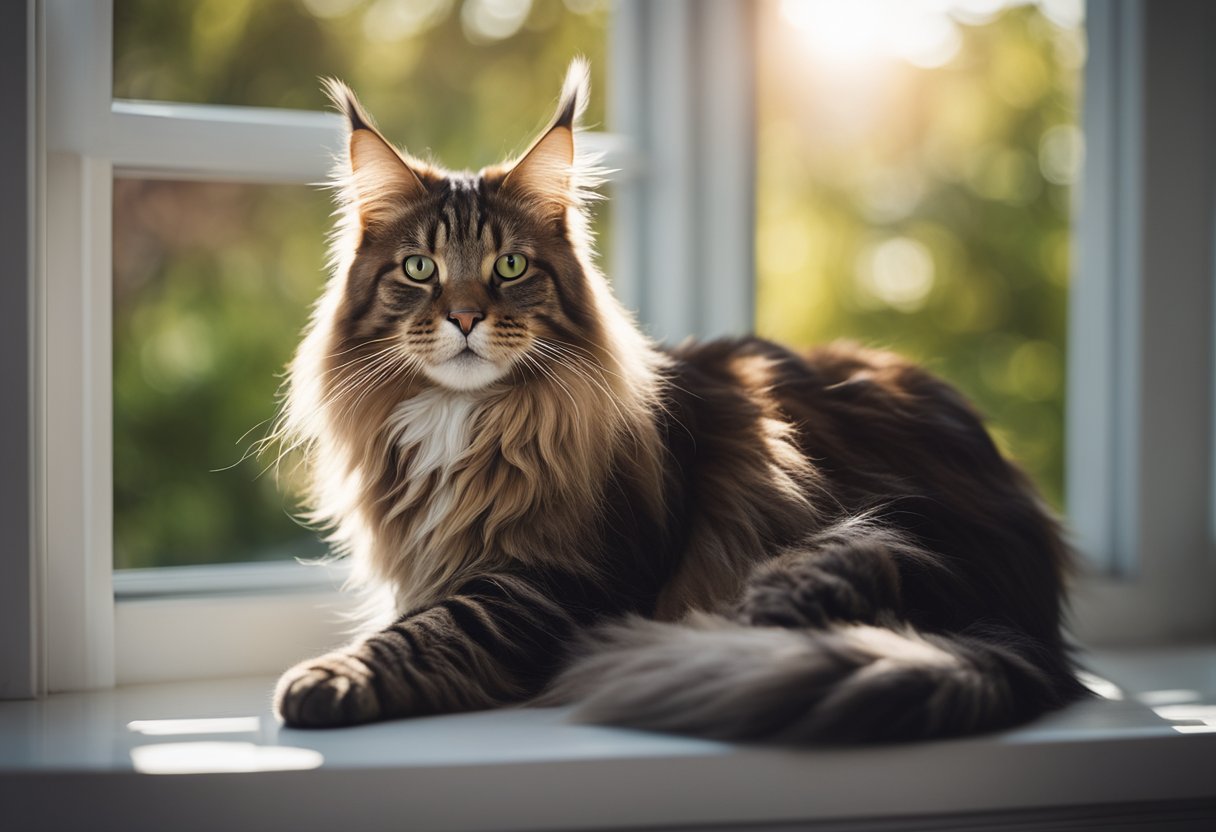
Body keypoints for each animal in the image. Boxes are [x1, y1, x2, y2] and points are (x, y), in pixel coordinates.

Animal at [273, 55, 1084, 739]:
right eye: (419, 268)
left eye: (509, 267)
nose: (466, 317)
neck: (465, 421)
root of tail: (1036, 620)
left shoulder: (558, 581)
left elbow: (430, 630)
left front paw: (325, 680)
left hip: (853, 543)